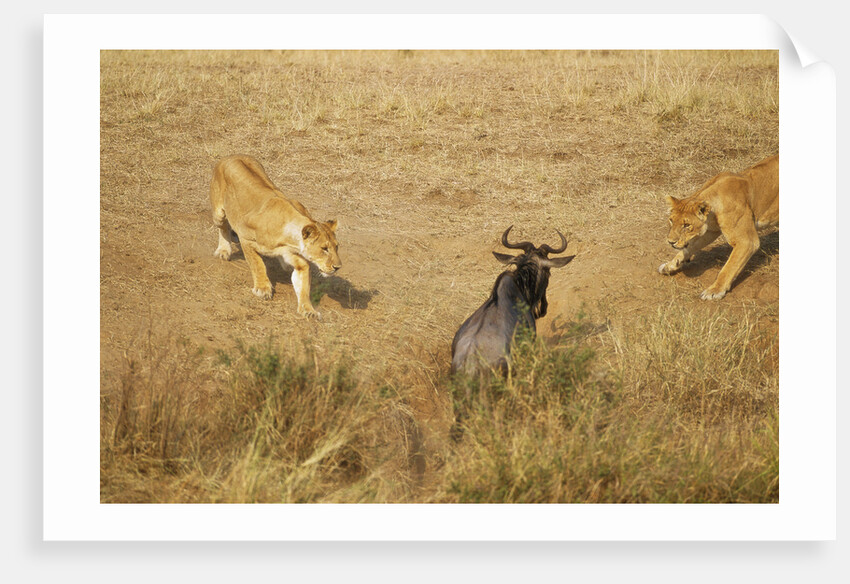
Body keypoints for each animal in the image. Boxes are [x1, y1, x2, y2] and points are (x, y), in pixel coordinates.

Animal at [210, 155, 341, 319]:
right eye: (324, 248)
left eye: (337, 247)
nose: (337, 267)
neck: (290, 239)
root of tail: (232, 155)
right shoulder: (246, 238)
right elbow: (258, 264)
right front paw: (263, 288)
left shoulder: (298, 260)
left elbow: (303, 286)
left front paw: (309, 310)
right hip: (218, 213)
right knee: (223, 227)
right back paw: (224, 250)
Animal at [658, 154, 778, 300]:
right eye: (671, 221)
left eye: (686, 225)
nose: (670, 242)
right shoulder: (710, 231)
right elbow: (688, 248)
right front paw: (670, 265)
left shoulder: (747, 241)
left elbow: (728, 268)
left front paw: (714, 291)